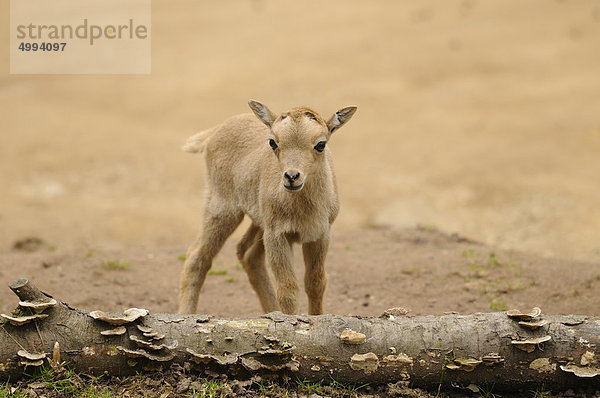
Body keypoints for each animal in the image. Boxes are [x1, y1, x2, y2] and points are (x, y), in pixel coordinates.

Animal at [178, 100, 356, 314]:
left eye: (321, 144)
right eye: (273, 142)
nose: (291, 177)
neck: (303, 210)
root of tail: (211, 134)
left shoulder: (320, 235)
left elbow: (316, 283)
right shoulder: (277, 235)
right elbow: (288, 291)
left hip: (257, 220)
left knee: (247, 253)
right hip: (222, 209)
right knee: (196, 258)